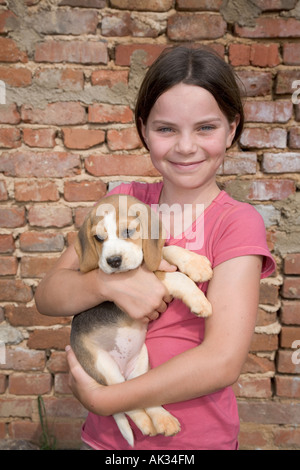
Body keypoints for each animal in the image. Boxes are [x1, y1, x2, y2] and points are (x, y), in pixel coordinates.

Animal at [70, 193, 212, 446]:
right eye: (98, 238)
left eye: (128, 231)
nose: (113, 261)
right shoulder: (153, 278)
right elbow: (176, 277)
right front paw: (199, 300)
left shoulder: (153, 257)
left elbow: (169, 250)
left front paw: (195, 263)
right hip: (104, 366)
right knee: (124, 402)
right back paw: (147, 424)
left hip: (142, 361)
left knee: (142, 395)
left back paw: (162, 420)